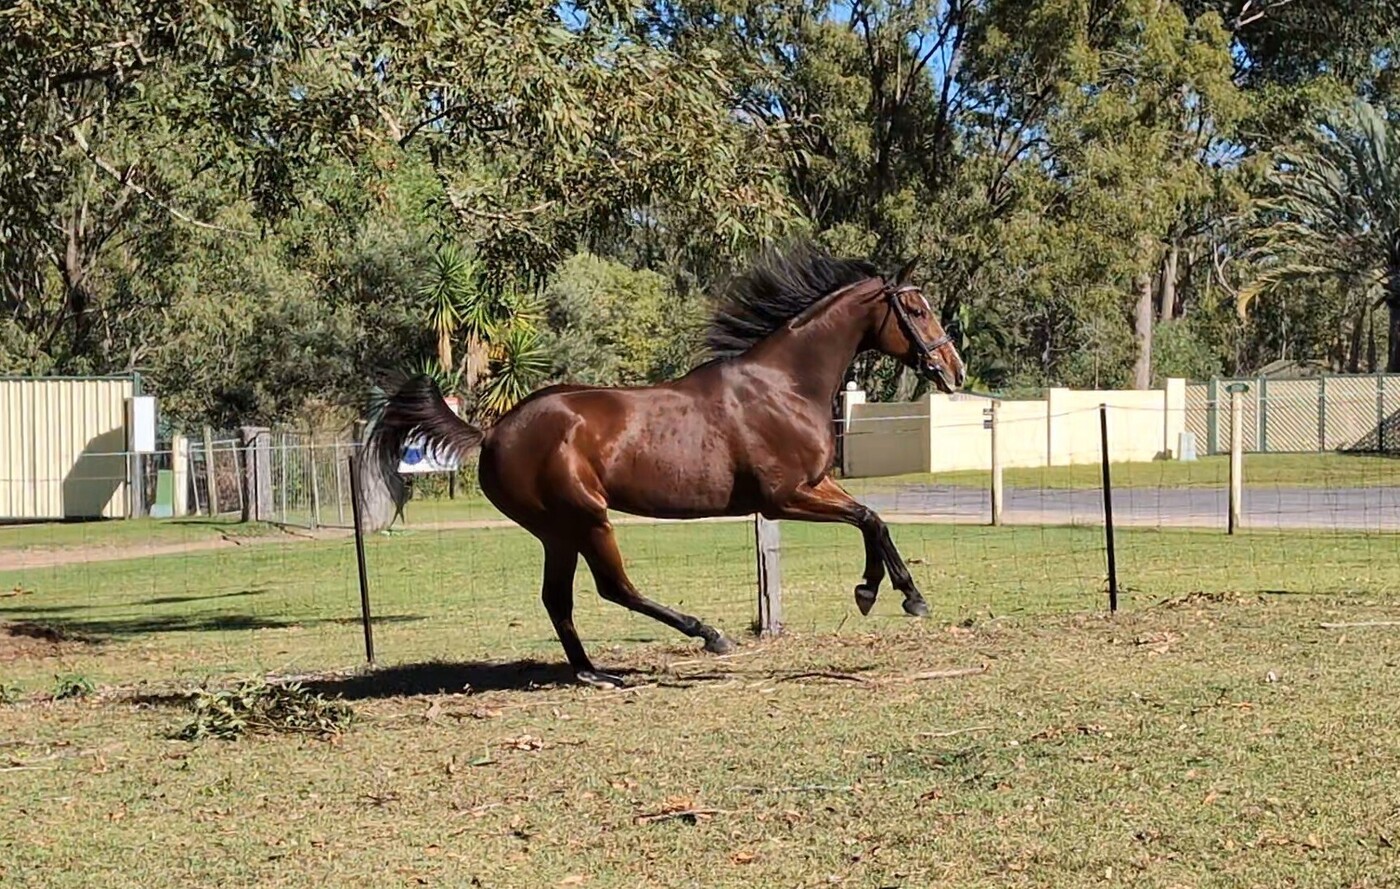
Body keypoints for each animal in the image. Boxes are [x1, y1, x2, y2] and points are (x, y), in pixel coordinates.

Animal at [367, 244, 966, 688]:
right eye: (916, 310)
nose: (954, 370)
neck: (783, 385)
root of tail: (492, 433)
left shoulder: (816, 485)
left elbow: (872, 519)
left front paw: (881, 593)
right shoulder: (785, 497)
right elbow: (867, 518)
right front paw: (899, 595)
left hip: (558, 532)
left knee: (558, 599)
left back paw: (594, 673)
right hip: (585, 519)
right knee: (615, 588)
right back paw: (708, 635)